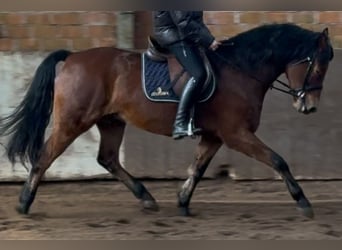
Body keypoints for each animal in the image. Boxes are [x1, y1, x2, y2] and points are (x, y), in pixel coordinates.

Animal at [0, 23, 334, 219]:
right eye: (318, 66)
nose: (309, 106)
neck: (240, 69)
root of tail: (72, 57)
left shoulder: (214, 136)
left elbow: (197, 169)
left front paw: (183, 201)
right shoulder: (236, 133)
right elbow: (278, 160)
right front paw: (303, 202)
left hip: (111, 121)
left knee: (108, 159)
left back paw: (146, 198)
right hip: (73, 121)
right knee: (44, 156)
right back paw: (24, 203)